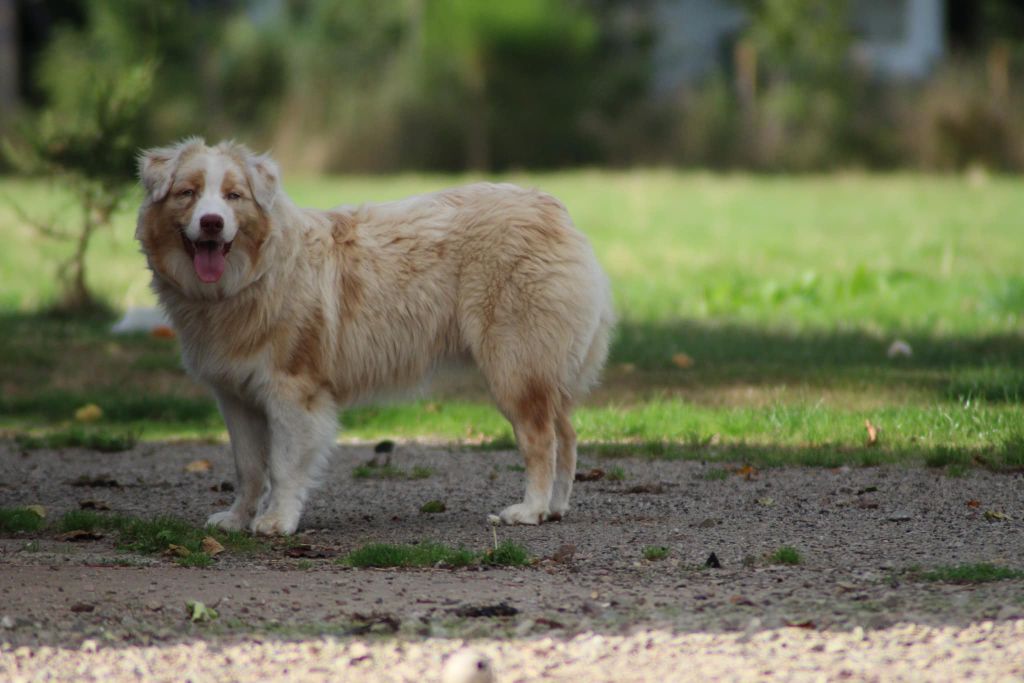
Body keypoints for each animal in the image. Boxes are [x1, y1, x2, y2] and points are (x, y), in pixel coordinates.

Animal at [136, 137, 614, 532]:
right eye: (188, 193)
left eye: (233, 196)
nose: (212, 223)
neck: (257, 273)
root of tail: (550, 205)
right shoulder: (236, 398)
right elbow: (249, 468)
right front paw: (237, 519)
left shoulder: (293, 393)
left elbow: (284, 466)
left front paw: (277, 521)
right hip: (544, 370)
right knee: (568, 437)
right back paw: (554, 508)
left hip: (515, 369)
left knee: (542, 441)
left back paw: (530, 511)